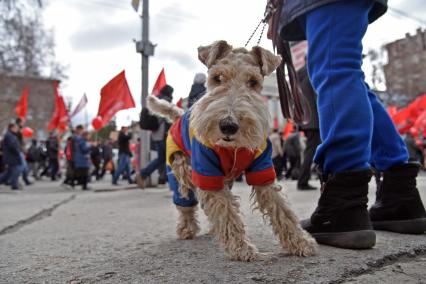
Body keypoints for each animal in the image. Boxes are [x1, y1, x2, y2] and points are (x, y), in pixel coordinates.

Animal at [146, 40, 316, 262]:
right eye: (217, 78)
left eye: (253, 81)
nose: (228, 126)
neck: (232, 148)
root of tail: (179, 115)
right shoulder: (207, 173)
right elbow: (227, 212)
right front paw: (242, 249)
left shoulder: (263, 170)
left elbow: (282, 210)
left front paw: (301, 242)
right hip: (181, 171)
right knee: (185, 204)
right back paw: (186, 229)